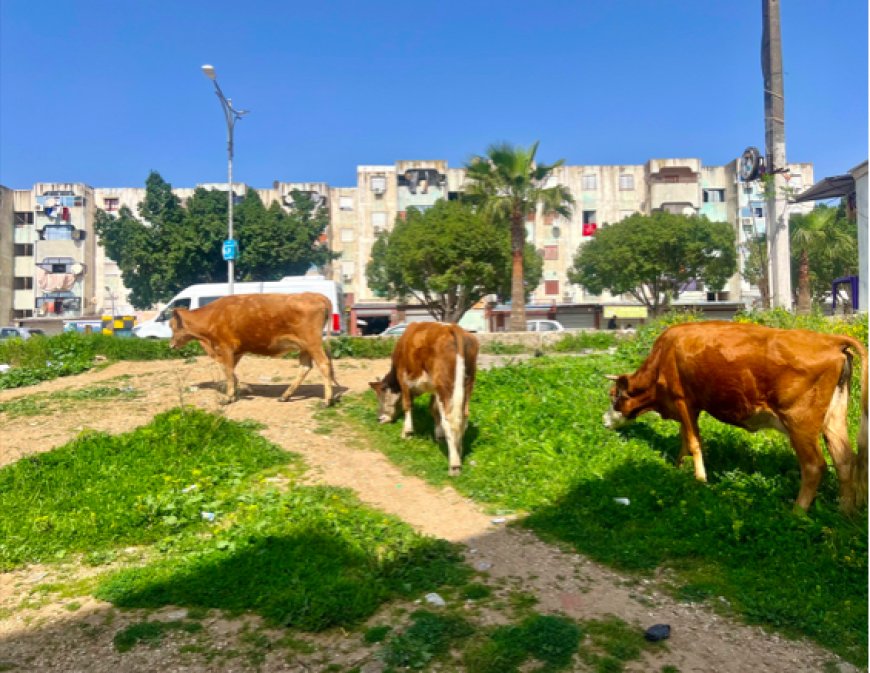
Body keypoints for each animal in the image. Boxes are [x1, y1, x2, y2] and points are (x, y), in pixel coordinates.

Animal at [169, 290, 338, 404]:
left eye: (172, 325)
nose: (170, 345)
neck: (212, 316)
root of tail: (317, 295)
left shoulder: (225, 348)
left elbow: (228, 371)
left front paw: (229, 396)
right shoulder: (236, 351)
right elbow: (229, 371)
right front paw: (240, 389)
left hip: (313, 344)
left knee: (324, 364)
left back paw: (327, 400)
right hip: (305, 347)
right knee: (305, 367)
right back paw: (285, 396)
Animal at [370, 322, 480, 476]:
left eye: (380, 397)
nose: (379, 419)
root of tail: (452, 327)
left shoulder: (403, 377)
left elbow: (407, 404)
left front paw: (407, 432)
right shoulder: (434, 388)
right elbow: (433, 409)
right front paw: (438, 434)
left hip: (445, 386)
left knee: (450, 421)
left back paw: (454, 465)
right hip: (467, 384)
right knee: (463, 419)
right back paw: (458, 451)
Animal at [604, 320, 868, 510]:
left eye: (613, 394)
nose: (604, 421)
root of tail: (831, 340)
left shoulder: (682, 400)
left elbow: (694, 443)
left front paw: (700, 479)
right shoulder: (690, 406)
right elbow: (685, 439)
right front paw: (679, 468)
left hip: (799, 422)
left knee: (814, 466)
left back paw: (797, 513)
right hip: (834, 417)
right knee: (845, 460)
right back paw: (846, 513)